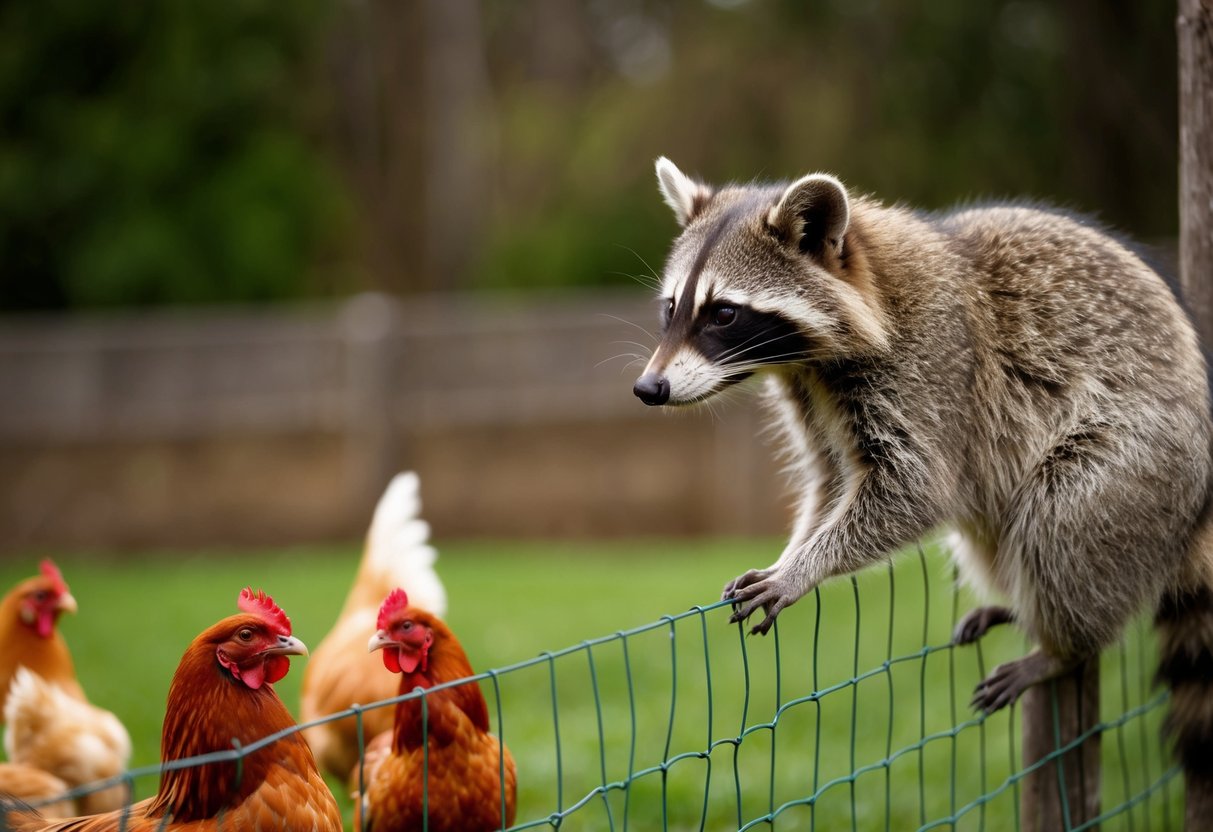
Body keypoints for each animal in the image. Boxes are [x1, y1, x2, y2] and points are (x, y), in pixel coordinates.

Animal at [633, 157, 1213, 779]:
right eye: (671, 308)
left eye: (723, 313)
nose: (649, 389)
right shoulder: (812, 396)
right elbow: (829, 481)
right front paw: (793, 552)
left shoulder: (932, 370)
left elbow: (917, 491)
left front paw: (807, 566)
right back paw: (1021, 609)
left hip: (1143, 459)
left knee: (1062, 519)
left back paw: (1064, 646)